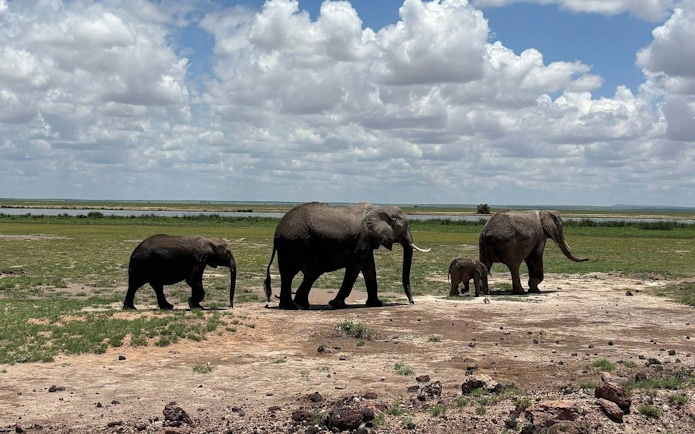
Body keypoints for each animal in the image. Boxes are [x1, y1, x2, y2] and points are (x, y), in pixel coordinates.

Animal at [263, 202, 430, 310]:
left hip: (288, 246)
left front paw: (376, 304)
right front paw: (335, 304)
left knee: (294, 274)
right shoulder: (363, 237)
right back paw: (295, 306)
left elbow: (369, 268)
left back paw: (295, 305)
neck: (379, 208)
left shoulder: (367, 239)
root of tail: (277, 231)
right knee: (305, 273)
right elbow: (355, 266)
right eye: (405, 227)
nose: (411, 303)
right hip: (295, 244)